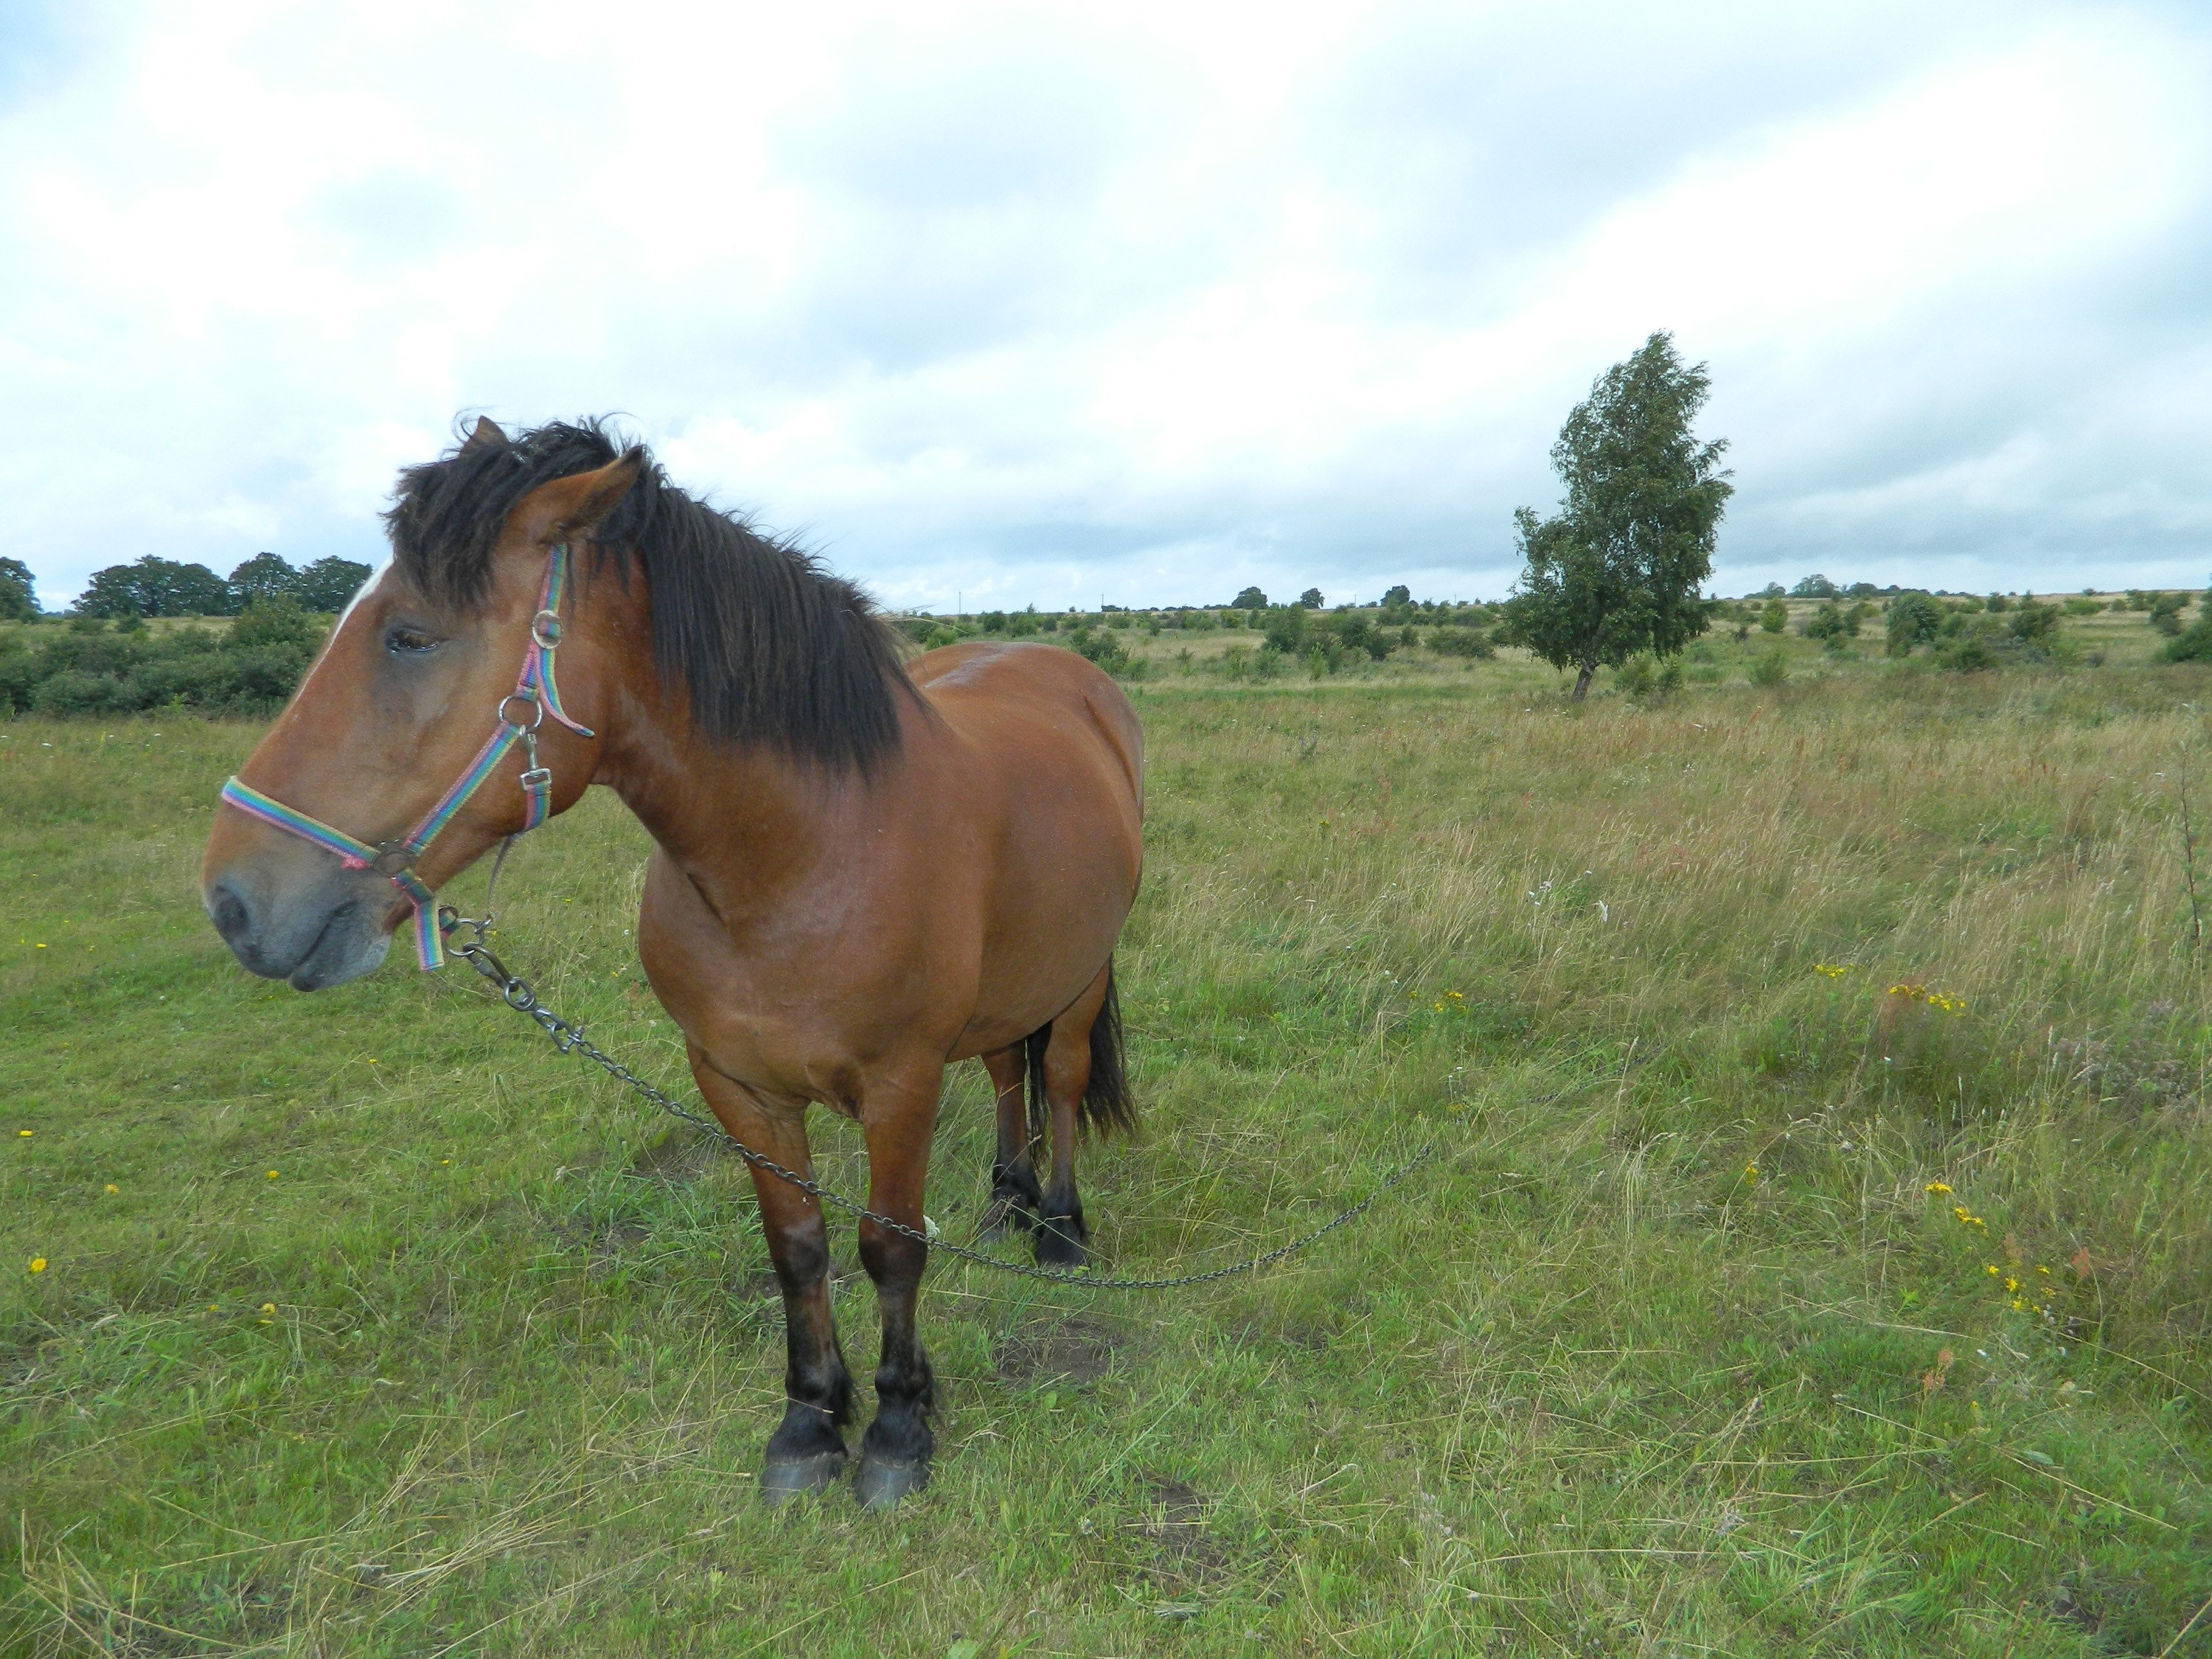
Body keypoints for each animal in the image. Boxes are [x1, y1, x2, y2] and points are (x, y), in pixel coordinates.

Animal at [199, 417, 1145, 1508]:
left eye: (410, 636)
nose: (233, 900)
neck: (803, 852)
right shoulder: (736, 1083)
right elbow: (798, 1247)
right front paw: (809, 1423)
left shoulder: (900, 1083)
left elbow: (889, 1247)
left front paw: (900, 1430)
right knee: (1002, 1072)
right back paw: (1004, 1201)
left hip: (1080, 975)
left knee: (1060, 1078)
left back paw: (1059, 1227)